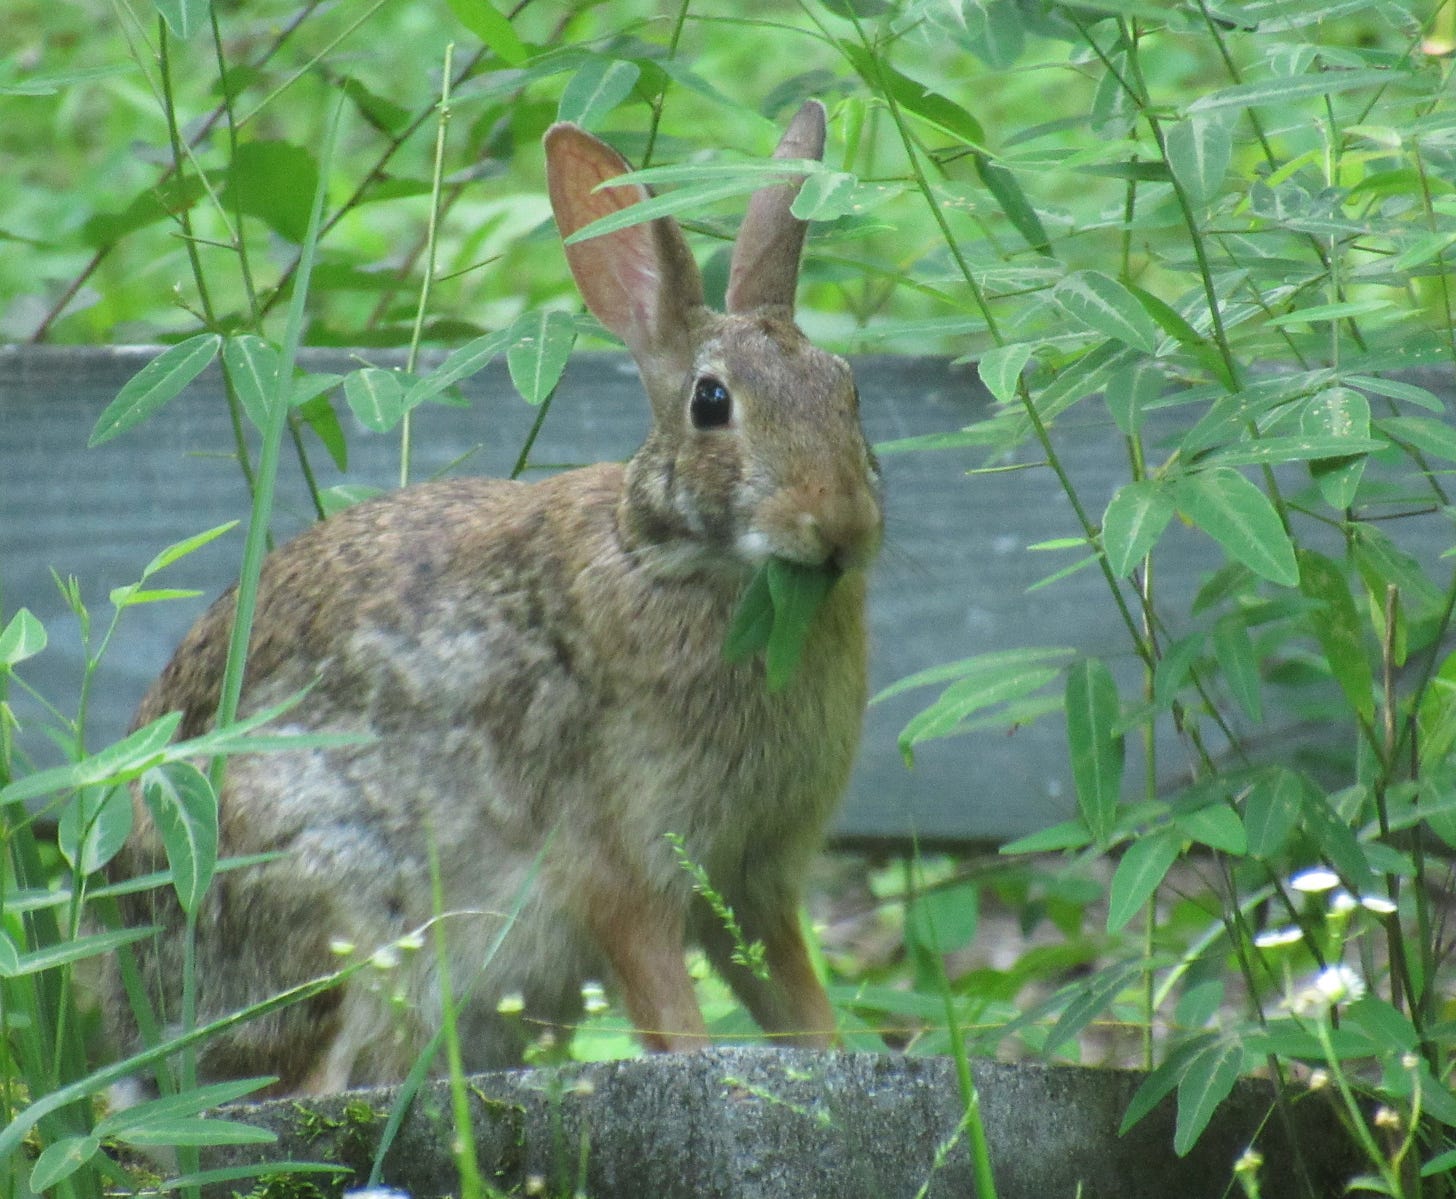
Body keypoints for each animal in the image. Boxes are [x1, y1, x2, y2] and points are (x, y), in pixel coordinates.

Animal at [105, 103, 873, 1095]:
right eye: (712, 403)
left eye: (847, 389)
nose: (841, 523)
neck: (663, 557)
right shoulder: (616, 863)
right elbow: (666, 998)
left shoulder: (755, 878)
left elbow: (794, 1000)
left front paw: (834, 1060)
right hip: (337, 910)